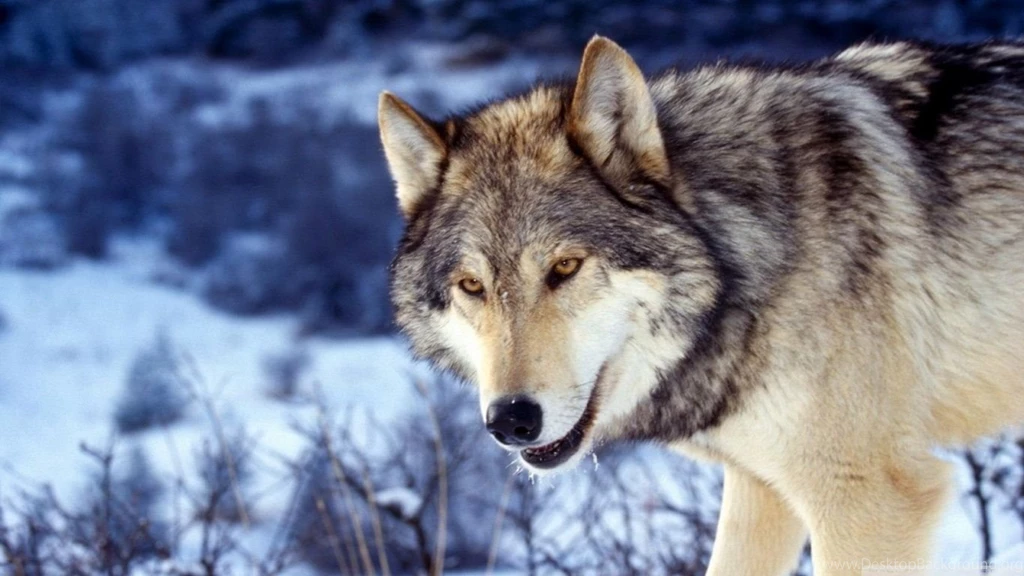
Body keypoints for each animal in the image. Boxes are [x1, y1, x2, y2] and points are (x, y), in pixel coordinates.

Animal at [378, 36, 1024, 574]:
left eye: (564, 267)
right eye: (472, 286)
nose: (511, 420)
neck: (748, 259)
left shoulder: (867, 499)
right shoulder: (761, 489)